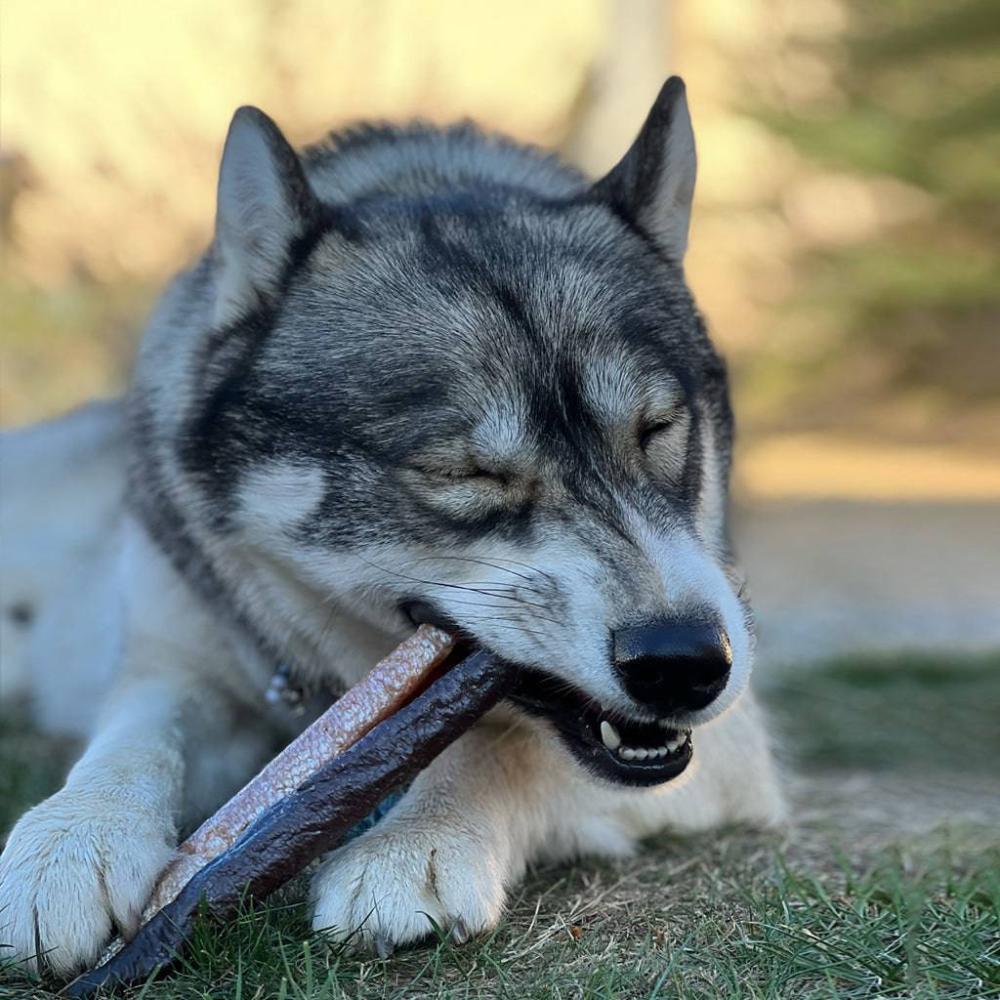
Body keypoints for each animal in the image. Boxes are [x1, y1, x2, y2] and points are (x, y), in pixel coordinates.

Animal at [0, 78, 780, 976]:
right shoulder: (175, 664)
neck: (328, 684)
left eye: (657, 431)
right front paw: (71, 842)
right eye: (464, 474)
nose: (685, 663)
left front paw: (413, 845)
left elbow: (500, 745)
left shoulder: (731, 747)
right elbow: (132, 737)